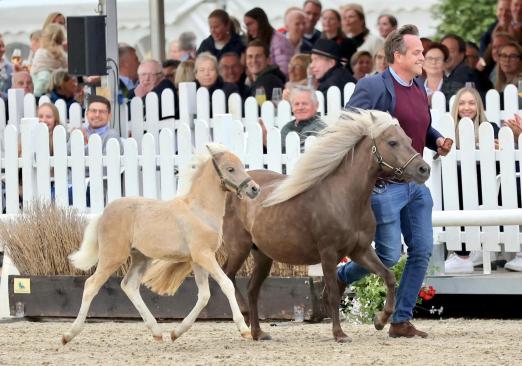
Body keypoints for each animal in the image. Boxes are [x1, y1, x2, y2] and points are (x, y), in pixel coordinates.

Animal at [61, 144, 260, 344]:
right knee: (91, 285)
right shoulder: (204, 255)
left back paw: (157, 332)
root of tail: (104, 213)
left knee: (129, 285)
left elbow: (204, 295)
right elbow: (226, 284)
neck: (200, 211)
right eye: (230, 169)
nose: (255, 188)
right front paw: (244, 330)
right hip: (113, 256)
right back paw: (68, 335)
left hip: (141, 258)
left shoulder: (197, 259)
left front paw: (176, 332)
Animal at [221, 109, 428, 344]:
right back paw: (245, 315)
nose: (424, 169)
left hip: (263, 255)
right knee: (227, 276)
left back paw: (258, 332)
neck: (345, 198)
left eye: (409, 140)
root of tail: (237, 188)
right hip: (239, 248)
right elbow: (333, 294)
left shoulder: (361, 251)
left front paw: (380, 320)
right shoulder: (328, 253)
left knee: (252, 289)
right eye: (392, 142)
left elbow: (389, 277)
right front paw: (339, 334)